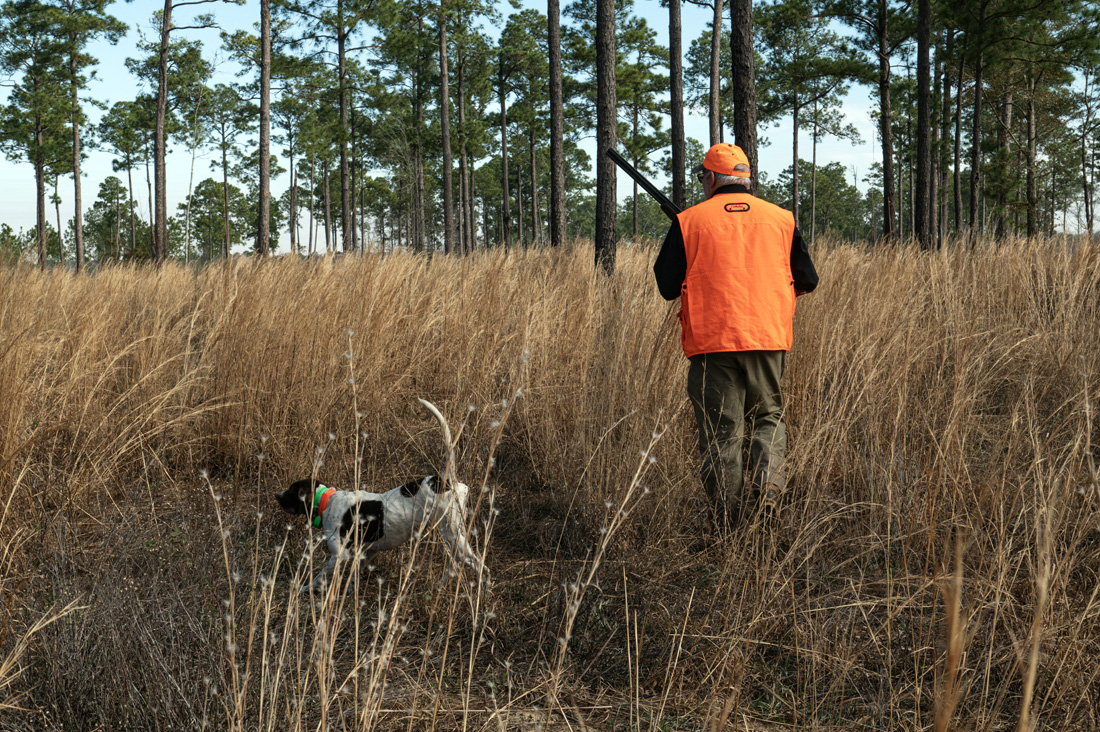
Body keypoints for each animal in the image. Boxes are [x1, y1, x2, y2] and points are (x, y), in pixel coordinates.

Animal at [275, 396, 486, 590]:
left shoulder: (339, 555)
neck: (326, 501)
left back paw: (484, 590)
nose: (276, 495)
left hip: (452, 534)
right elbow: (355, 573)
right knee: (455, 564)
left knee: (478, 565)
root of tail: (444, 481)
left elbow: (319, 576)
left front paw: (303, 589)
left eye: (291, 490)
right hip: (449, 536)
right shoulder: (366, 552)